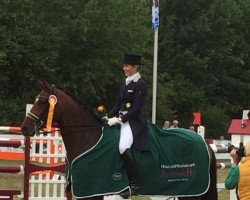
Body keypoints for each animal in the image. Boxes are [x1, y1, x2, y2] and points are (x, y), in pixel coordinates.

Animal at [21, 80, 217, 200]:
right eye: (36, 100)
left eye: (42, 102)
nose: (24, 128)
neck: (88, 137)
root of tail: (204, 142)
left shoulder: (95, 191)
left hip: (193, 191)